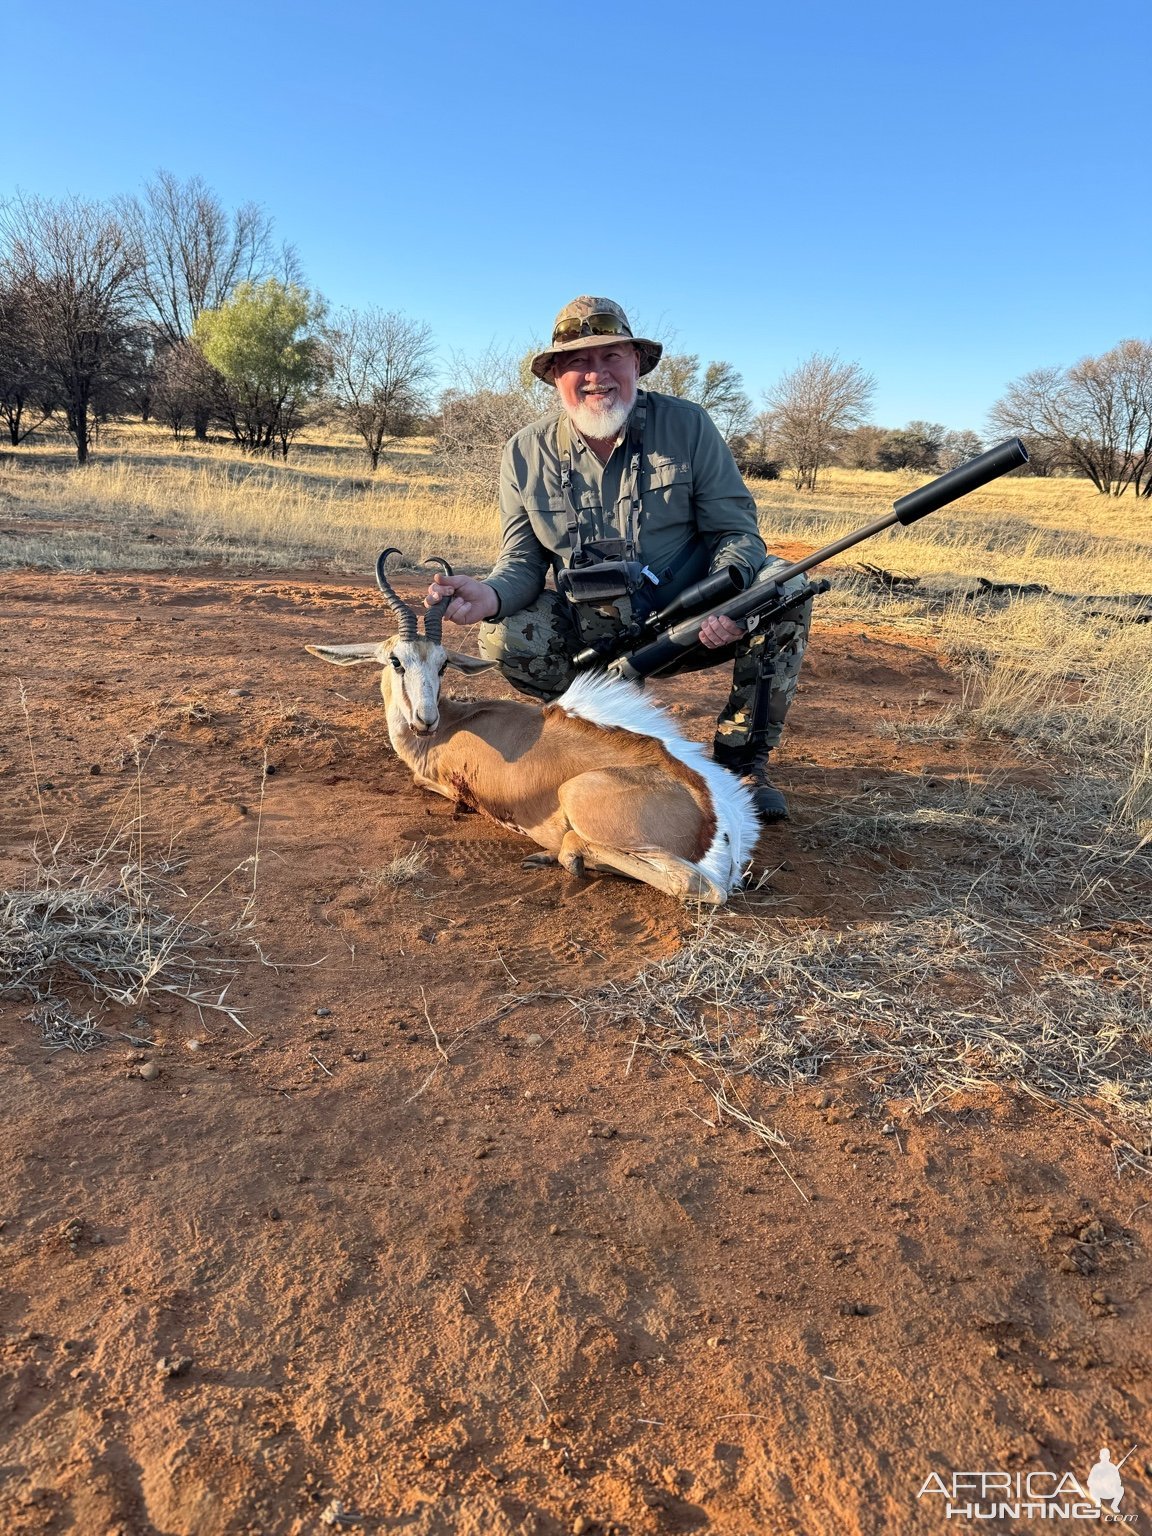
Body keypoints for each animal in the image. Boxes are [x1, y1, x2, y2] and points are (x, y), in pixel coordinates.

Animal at [307, 552, 761, 903]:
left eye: (443, 663)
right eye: (397, 661)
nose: (424, 719)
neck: (453, 725)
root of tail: (719, 817)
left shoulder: (442, 782)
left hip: (582, 802)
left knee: (696, 885)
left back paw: (566, 853)